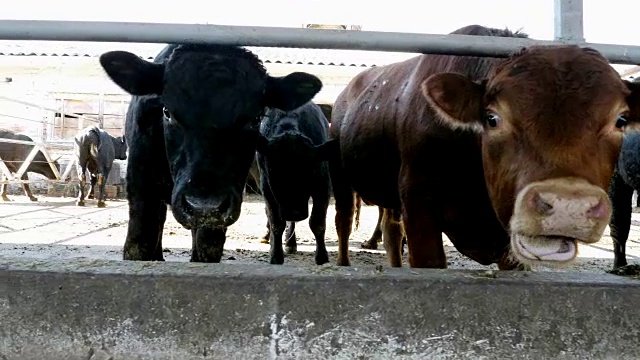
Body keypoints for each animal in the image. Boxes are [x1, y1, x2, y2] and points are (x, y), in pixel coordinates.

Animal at [99, 45, 322, 264]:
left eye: (255, 118)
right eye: (167, 112)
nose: (203, 206)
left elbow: (207, 249)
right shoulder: (142, 187)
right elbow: (139, 243)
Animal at [255, 100, 336, 264]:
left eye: (310, 169)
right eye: (273, 170)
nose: (295, 213)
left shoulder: (323, 186)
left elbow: (317, 222)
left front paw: (322, 256)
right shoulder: (267, 188)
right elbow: (276, 222)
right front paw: (276, 255)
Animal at [330, 23, 640, 268]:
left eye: (621, 120)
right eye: (492, 118)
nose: (568, 206)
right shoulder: (418, 205)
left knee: (391, 230)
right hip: (342, 178)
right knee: (344, 219)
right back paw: (342, 263)